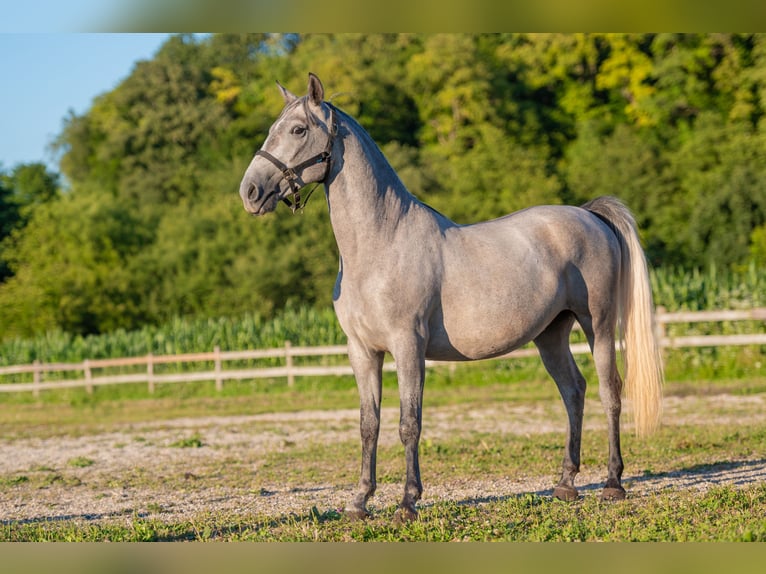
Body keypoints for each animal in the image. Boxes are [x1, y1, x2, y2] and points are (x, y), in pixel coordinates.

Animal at [240, 74, 664, 524]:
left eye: (298, 130)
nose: (250, 191)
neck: (381, 242)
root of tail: (589, 214)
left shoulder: (408, 346)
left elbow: (409, 422)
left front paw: (407, 503)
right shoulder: (362, 351)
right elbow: (368, 424)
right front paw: (359, 502)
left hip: (597, 324)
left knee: (609, 392)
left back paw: (613, 483)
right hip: (551, 334)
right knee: (573, 391)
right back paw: (566, 484)